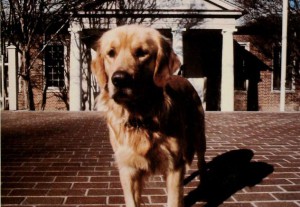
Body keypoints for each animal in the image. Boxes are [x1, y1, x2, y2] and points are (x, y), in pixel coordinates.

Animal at [92, 25, 206, 206]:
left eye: (141, 53)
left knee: (202, 162)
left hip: (199, 136)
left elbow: (174, 200)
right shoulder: (127, 168)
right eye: (111, 53)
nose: (119, 79)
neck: (140, 118)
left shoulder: (174, 165)